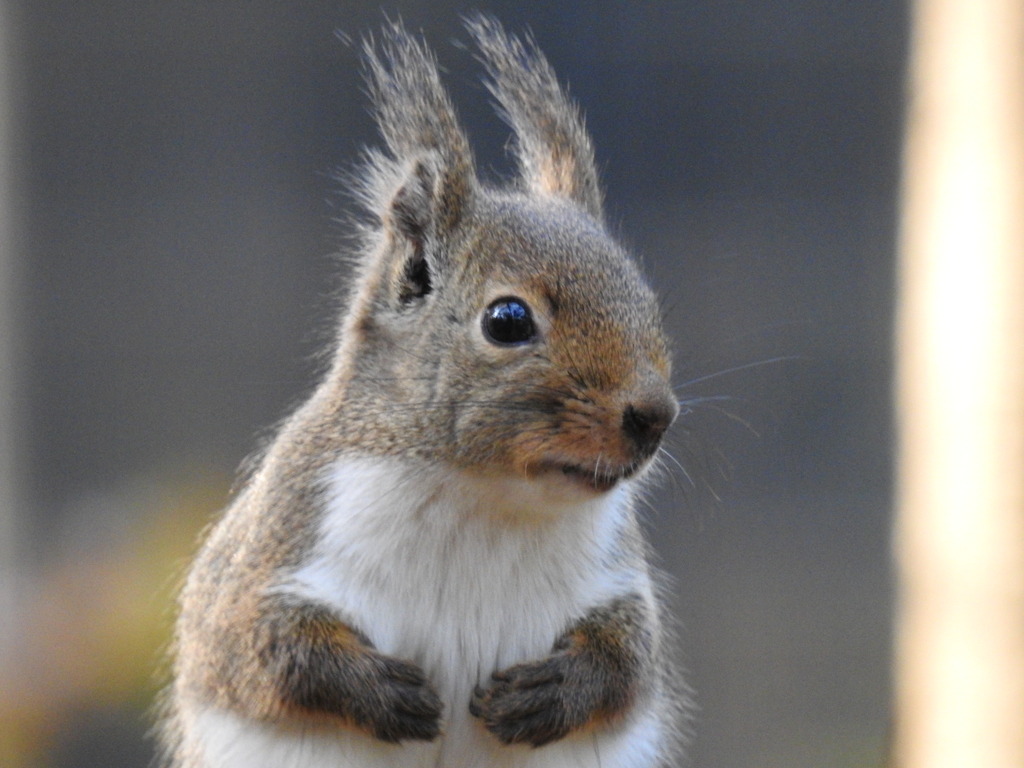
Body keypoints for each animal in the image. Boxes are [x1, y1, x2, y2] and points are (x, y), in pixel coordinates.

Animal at [161, 13, 679, 768]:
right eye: (507, 320)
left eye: (647, 301)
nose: (654, 415)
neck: (484, 496)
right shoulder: (274, 552)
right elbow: (260, 650)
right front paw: (384, 694)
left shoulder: (617, 583)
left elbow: (630, 662)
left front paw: (552, 693)